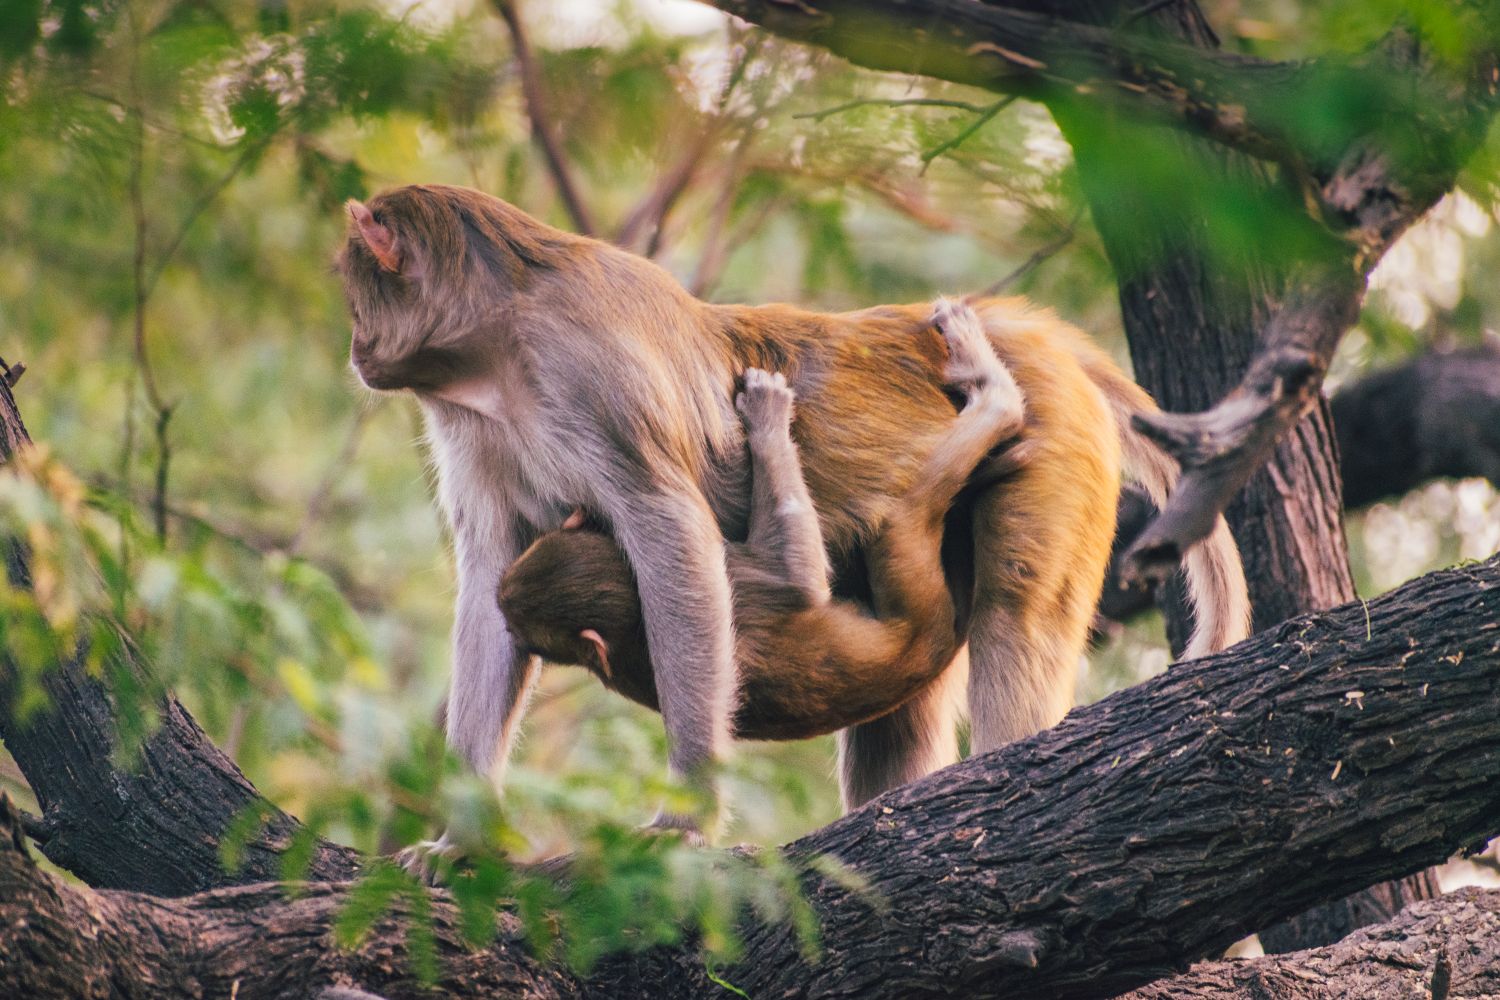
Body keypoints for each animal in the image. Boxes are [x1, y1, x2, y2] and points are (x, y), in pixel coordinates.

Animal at [496, 298, 1031, 742]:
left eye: (520, 631)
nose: (501, 609)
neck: (631, 616)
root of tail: (931, 653)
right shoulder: (739, 584)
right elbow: (797, 578)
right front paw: (768, 419)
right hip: (921, 597)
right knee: (903, 515)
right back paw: (996, 398)